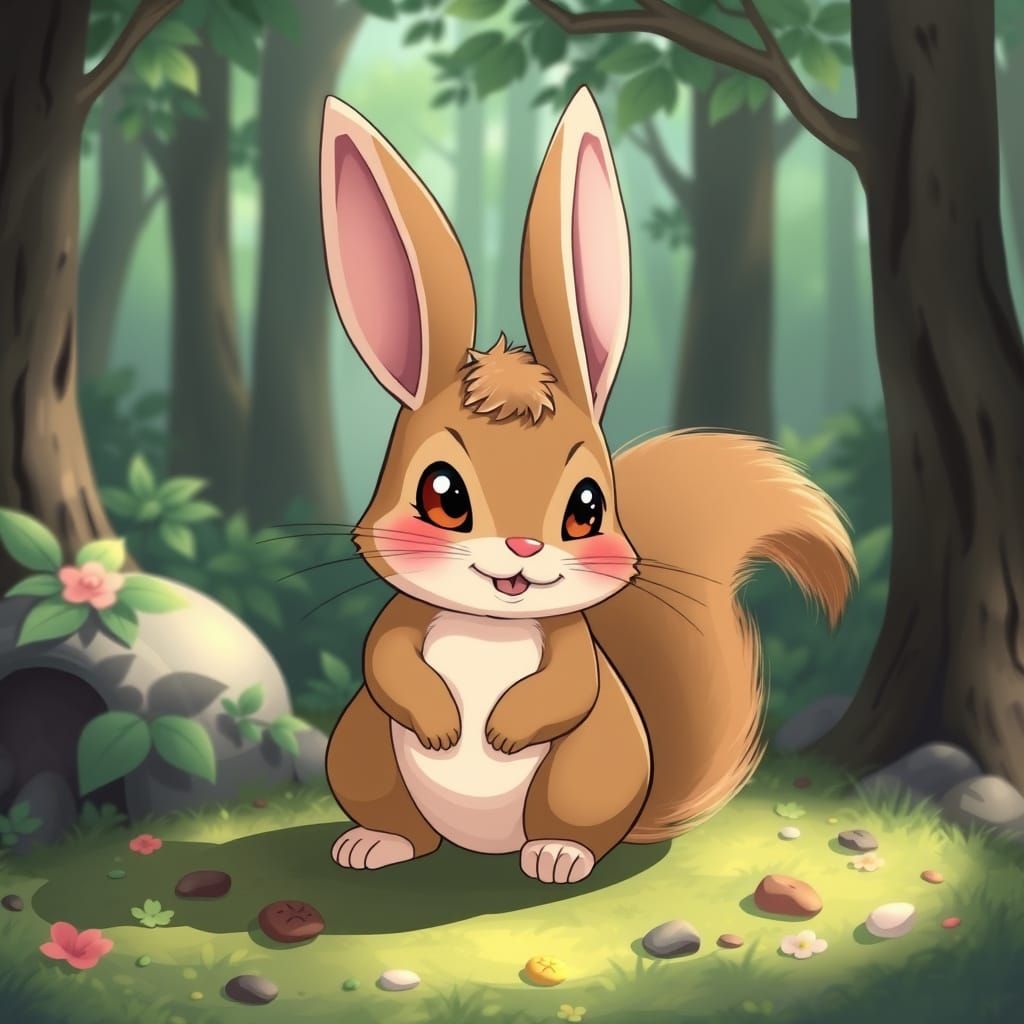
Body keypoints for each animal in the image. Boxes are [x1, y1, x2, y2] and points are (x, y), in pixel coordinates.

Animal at [318, 86, 856, 884]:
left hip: (588, 772)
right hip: (361, 749)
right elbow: (383, 661)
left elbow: (573, 685)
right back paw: (375, 841)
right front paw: (444, 723)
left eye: (587, 508)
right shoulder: (401, 621)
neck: (491, 624)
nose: (521, 548)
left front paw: (502, 731)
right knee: (406, 828)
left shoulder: (572, 646)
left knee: (577, 831)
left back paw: (558, 854)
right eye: (442, 495)